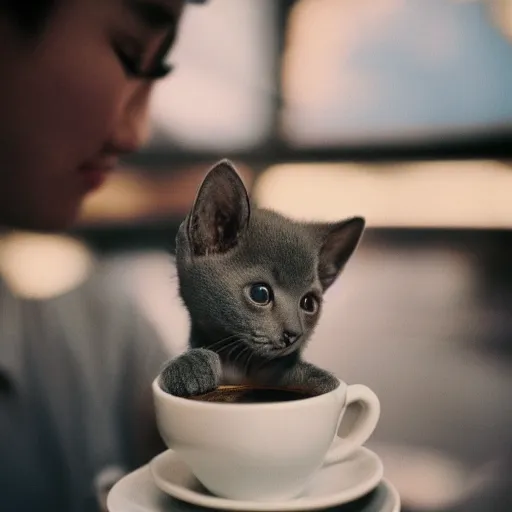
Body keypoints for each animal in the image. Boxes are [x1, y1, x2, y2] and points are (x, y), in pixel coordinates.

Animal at [160, 160, 364, 396]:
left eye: (308, 303)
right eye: (260, 293)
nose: (293, 334)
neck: (242, 368)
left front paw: (316, 379)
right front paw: (189, 366)